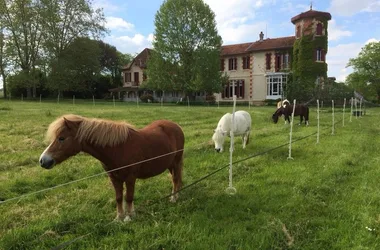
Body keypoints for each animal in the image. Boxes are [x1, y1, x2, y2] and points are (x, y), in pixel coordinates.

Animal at [39, 114, 185, 222]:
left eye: (61, 138)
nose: (43, 160)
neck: (118, 149)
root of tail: (176, 126)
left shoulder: (130, 178)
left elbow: (129, 197)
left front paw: (129, 217)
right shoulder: (114, 178)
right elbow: (119, 198)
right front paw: (118, 218)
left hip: (176, 162)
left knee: (175, 179)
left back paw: (174, 198)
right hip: (170, 164)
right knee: (175, 179)